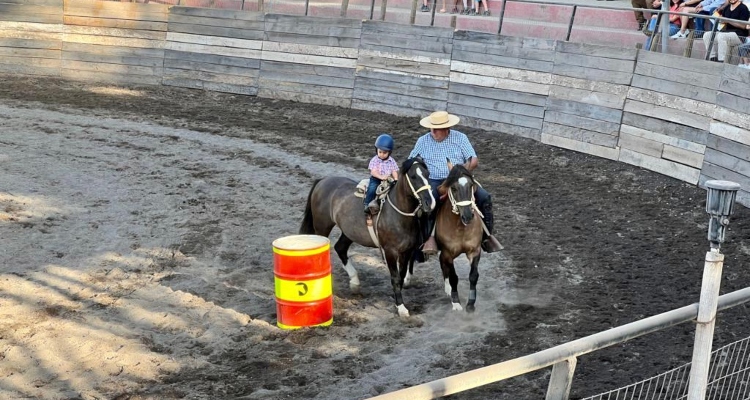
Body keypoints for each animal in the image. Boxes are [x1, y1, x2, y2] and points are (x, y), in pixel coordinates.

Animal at [298, 158, 434, 318]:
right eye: (413, 176)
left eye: (427, 174)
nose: (430, 202)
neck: (396, 214)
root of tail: (323, 180)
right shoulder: (390, 251)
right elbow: (395, 278)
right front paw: (401, 307)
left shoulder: (406, 251)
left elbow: (400, 276)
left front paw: (397, 302)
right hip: (322, 228)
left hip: (349, 231)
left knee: (340, 248)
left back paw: (355, 282)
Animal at [438, 160, 484, 312]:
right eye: (453, 188)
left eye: (470, 185)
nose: (468, 216)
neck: (460, 228)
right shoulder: (448, 253)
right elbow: (454, 277)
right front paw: (456, 303)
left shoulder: (475, 251)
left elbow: (473, 276)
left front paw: (470, 304)